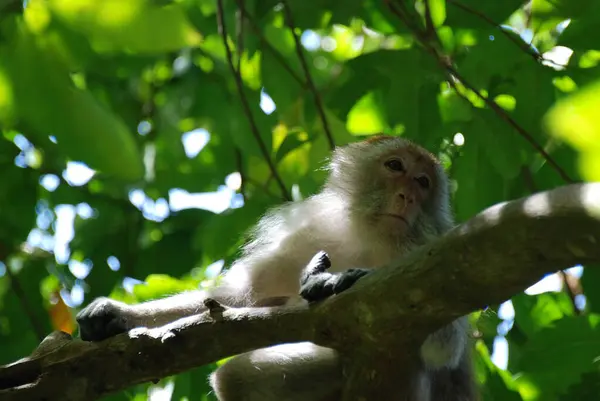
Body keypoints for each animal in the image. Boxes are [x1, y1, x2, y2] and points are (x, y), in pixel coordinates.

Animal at [77, 136, 476, 400]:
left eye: (423, 182)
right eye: (396, 166)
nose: (408, 197)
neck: (373, 238)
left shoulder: (434, 245)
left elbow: (444, 344)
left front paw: (341, 281)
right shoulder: (309, 232)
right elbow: (236, 300)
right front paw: (117, 315)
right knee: (235, 378)